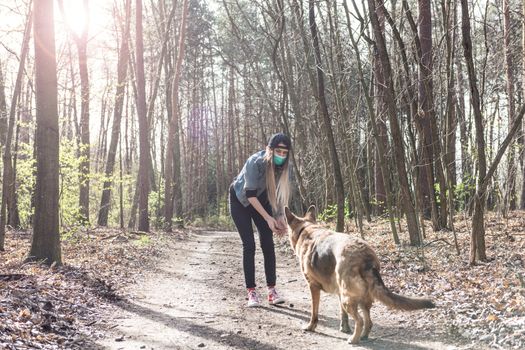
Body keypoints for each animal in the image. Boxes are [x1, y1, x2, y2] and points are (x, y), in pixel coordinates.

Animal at [284, 206, 432, 344]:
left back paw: (354, 339)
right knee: (368, 321)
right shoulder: (339, 292)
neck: (306, 228)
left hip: (348, 299)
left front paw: (311, 326)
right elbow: (342, 314)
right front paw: (344, 328)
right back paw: (363, 336)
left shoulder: (313, 287)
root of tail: (366, 258)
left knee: (360, 320)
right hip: (360, 299)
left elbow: (314, 311)